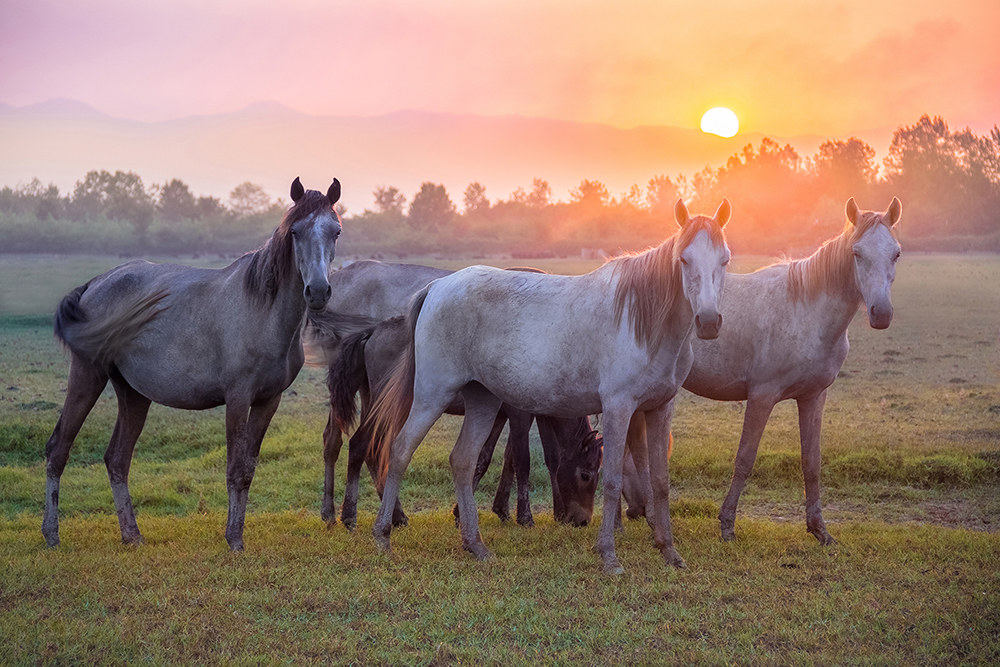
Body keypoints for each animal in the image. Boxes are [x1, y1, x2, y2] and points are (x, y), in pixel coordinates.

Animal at [42, 177, 343, 551]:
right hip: (88, 375)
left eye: (335, 231)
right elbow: (235, 470)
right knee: (58, 450)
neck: (264, 311)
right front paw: (234, 540)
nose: (317, 292)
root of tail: (95, 283)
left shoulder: (267, 401)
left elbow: (248, 469)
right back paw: (52, 534)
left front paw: (236, 534)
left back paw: (132, 536)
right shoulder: (238, 399)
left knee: (117, 459)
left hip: (132, 393)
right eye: (296, 232)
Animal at [307, 261, 603, 529]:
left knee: (368, 448)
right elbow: (526, 460)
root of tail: (372, 332)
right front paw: (527, 516)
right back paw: (351, 515)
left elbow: (491, 459)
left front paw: (486, 510)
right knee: (360, 444)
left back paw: (391, 515)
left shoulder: (503, 415)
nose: (582, 520)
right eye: (587, 475)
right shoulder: (521, 414)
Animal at [365, 199, 732, 573]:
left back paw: (475, 545)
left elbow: (659, 481)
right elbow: (613, 481)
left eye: (725, 260)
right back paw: (383, 535)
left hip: (482, 401)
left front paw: (669, 551)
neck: (643, 323)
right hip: (431, 396)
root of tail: (437, 287)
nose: (708, 321)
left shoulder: (659, 409)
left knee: (463, 462)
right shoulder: (618, 408)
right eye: (683, 259)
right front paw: (609, 556)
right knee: (399, 450)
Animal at [621, 197, 902, 545]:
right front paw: (727, 524)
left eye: (896, 253)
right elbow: (745, 458)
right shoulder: (762, 397)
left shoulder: (813, 397)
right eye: (857, 253)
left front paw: (819, 529)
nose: (881, 313)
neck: (805, 310)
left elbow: (811, 461)